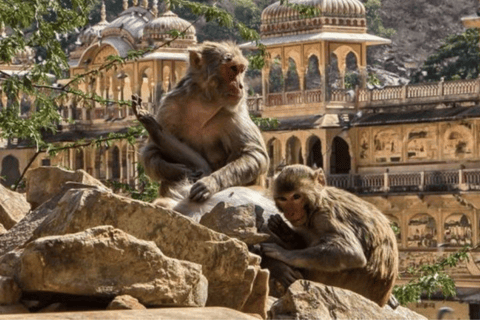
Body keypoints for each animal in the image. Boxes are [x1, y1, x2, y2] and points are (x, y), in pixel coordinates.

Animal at [137, 42, 268, 202]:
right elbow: (153, 150)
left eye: (241, 69)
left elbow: (254, 153)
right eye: (233, 69)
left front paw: (209, 182)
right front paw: (181, 171)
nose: (241, 86)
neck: (205, 102)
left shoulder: (234, 111)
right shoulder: (170, 105)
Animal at [260, 165, 400, 308]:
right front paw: (283, 231)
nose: (291, 212)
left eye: (296, 196)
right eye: (283, 199)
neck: (317, 203)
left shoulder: (324, 216)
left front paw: (281, 253)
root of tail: (381, 299)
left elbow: (351, 252)